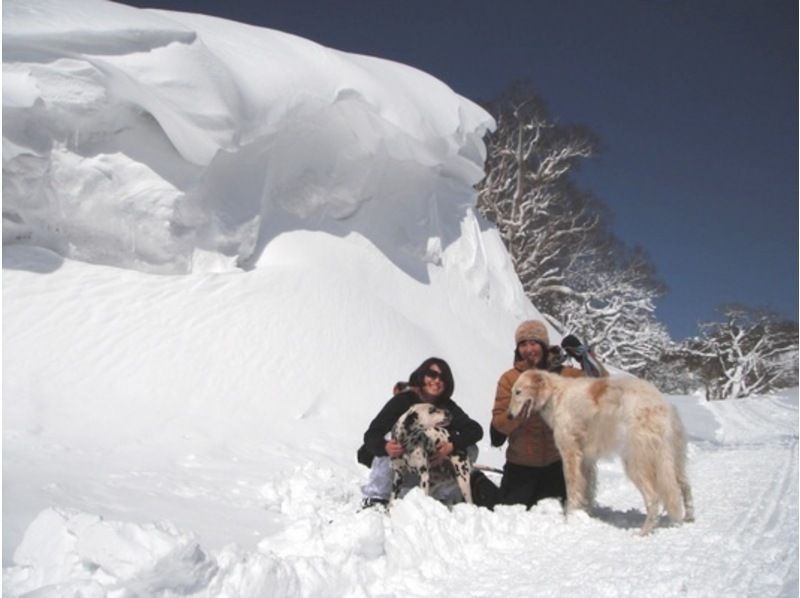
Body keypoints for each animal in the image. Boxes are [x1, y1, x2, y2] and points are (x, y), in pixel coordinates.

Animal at [512, 372, 692, 536]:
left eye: (518, 392)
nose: (509, 415)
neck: (555, 394)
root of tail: (659, 405)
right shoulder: (586, 459)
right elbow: (587, 489)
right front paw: (585, 513)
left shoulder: (570, 453)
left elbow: (572, 489)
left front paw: (570, 517)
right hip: (672, 458)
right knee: (684, 485)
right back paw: (689, 519)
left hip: (636, 462)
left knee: (653, 498)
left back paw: (643, 532)